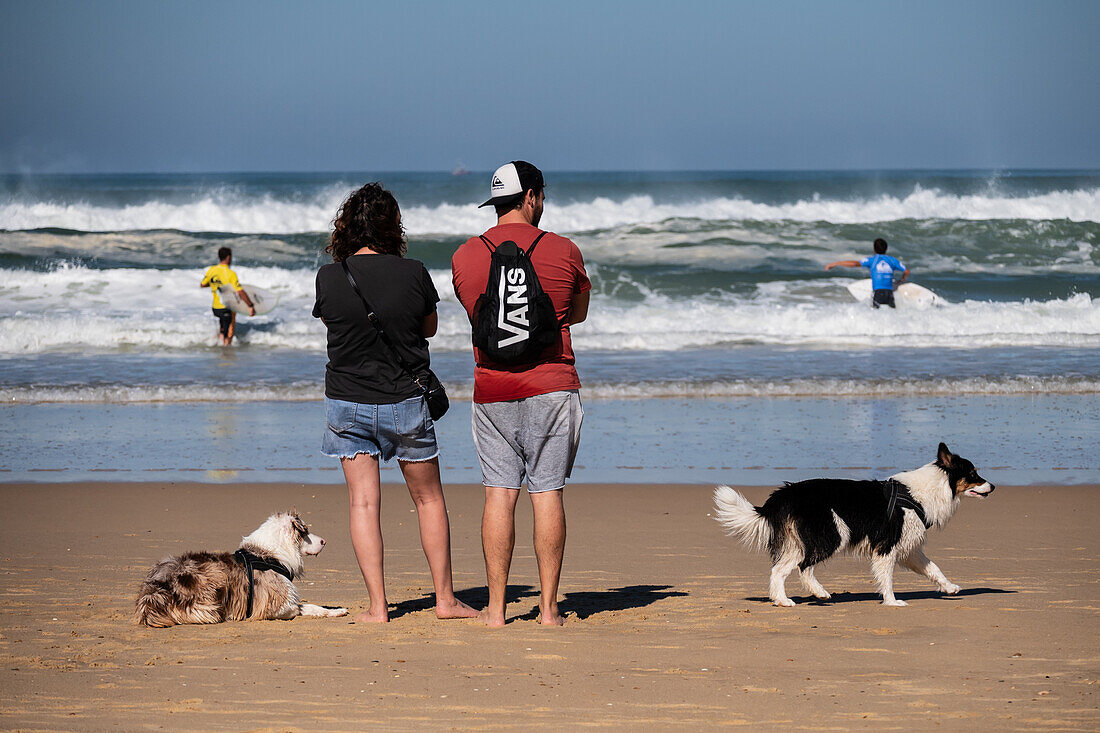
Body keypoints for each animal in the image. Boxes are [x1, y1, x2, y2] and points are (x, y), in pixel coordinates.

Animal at [135, 510, 347, 625]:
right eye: (305, 532)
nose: (324, 541)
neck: (269, 555)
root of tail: (150, 597)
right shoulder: (274, 606)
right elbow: (303, 607)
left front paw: (336, 610)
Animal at [712, 440, 998, 603]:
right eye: (973, 474)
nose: (993, 486)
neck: (920, 494)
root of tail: (785, 494)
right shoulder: (887, 546)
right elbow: (887, 578)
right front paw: (892, 602)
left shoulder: (909, 549)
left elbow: (934, 569)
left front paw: (949, 588)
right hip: (832, 534)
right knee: (801, 567)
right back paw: (810, 595)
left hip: (801, 540)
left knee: (780, 570)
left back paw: (787, 600)